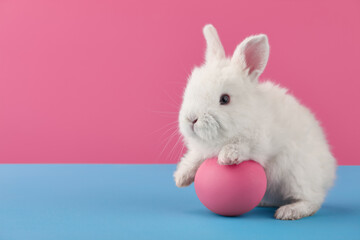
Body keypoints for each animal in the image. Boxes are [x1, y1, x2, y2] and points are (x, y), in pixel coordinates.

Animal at [174, 23, 338, 219]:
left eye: (225, 99)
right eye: (190, 89)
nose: (191, 119)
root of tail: (328, 174)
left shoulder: (259, 143)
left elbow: (242, 146)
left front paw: (227, 156)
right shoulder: (201, 151)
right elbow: (194, 158)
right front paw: (181, 178)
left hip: (297, 175)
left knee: (313, 201)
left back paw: (288, 211)